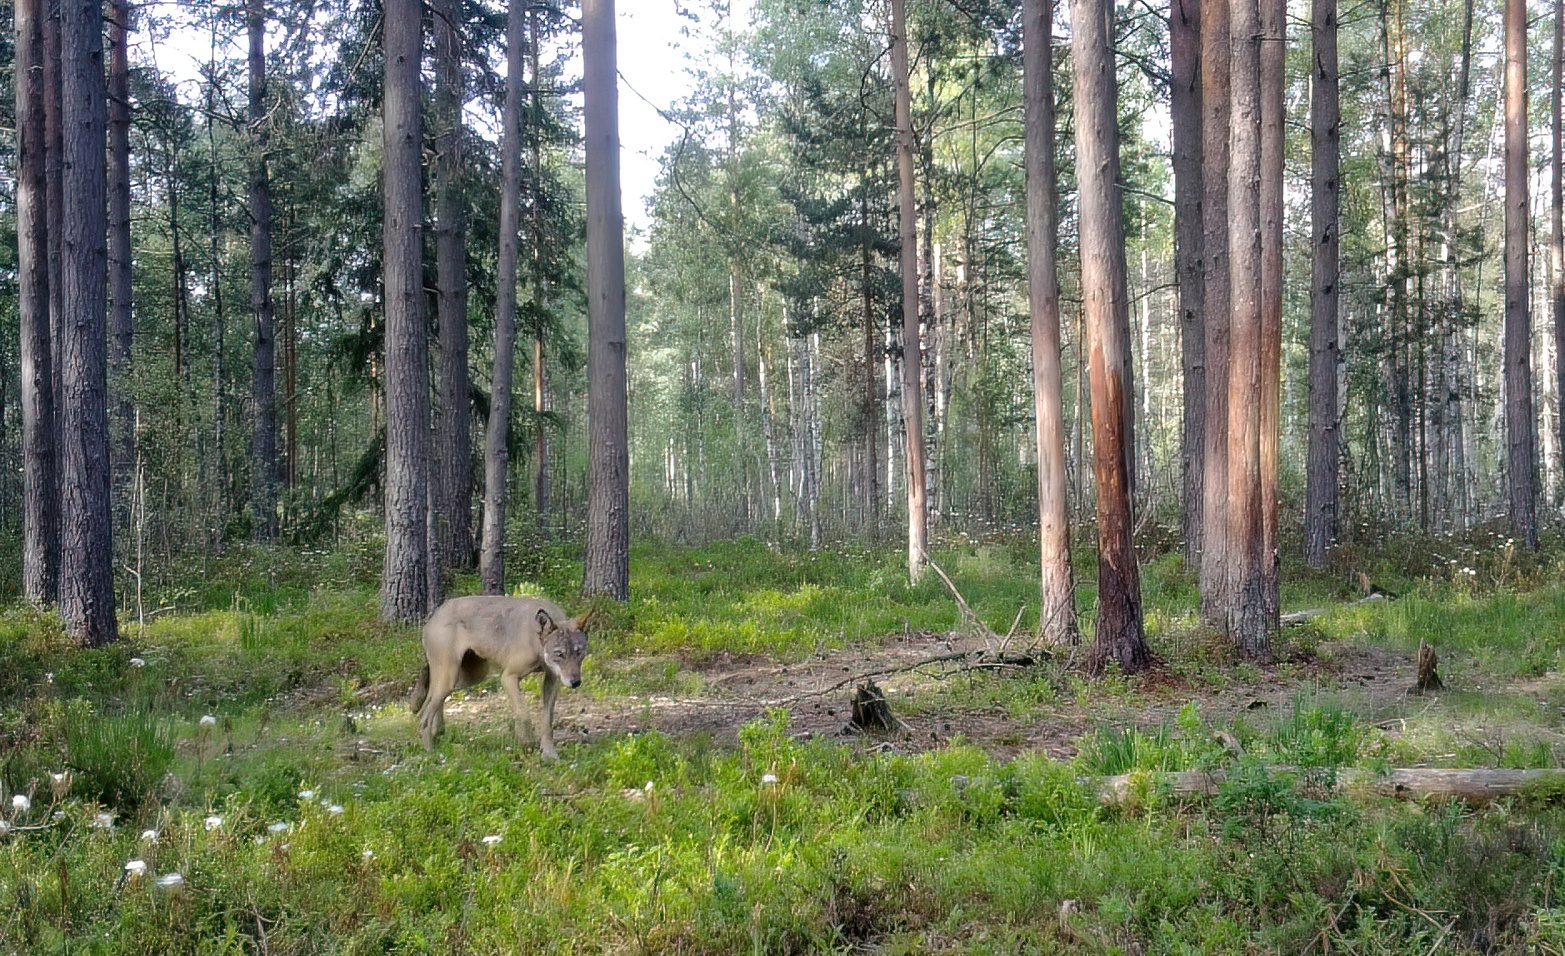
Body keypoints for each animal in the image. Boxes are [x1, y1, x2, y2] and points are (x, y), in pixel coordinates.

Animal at [410, 597, 591, 763]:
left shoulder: (552, 680)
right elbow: (523, 714)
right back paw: (431, 754)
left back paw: (438, 735)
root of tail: (437, 612)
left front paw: (549, 755)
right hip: (450, 679)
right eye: (559, 654)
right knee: (423, 716)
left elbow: (547, 722)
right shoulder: (508, 677)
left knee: (428, 706)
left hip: (464, 679)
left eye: (579, 653)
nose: (575, 682)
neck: (535, 639)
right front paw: (527, 742)